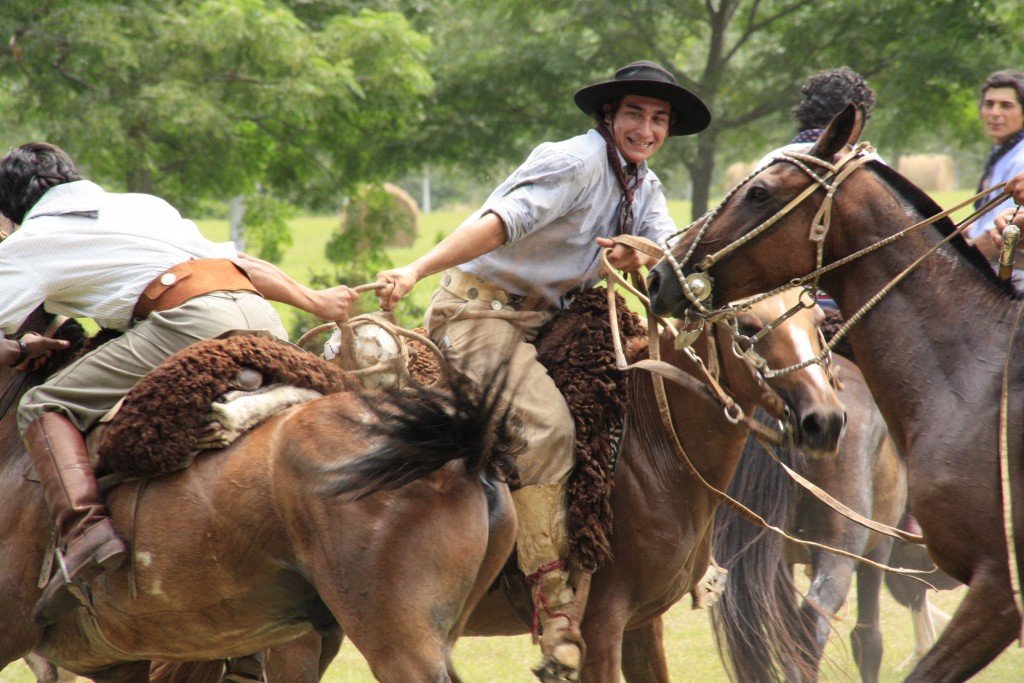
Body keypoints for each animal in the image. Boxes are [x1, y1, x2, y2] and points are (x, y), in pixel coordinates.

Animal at [651, 102, 1024, 683]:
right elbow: (873, 639)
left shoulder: (994, 587)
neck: (973, 377)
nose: (660, 275)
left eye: (760, 193)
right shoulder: (975, 581)